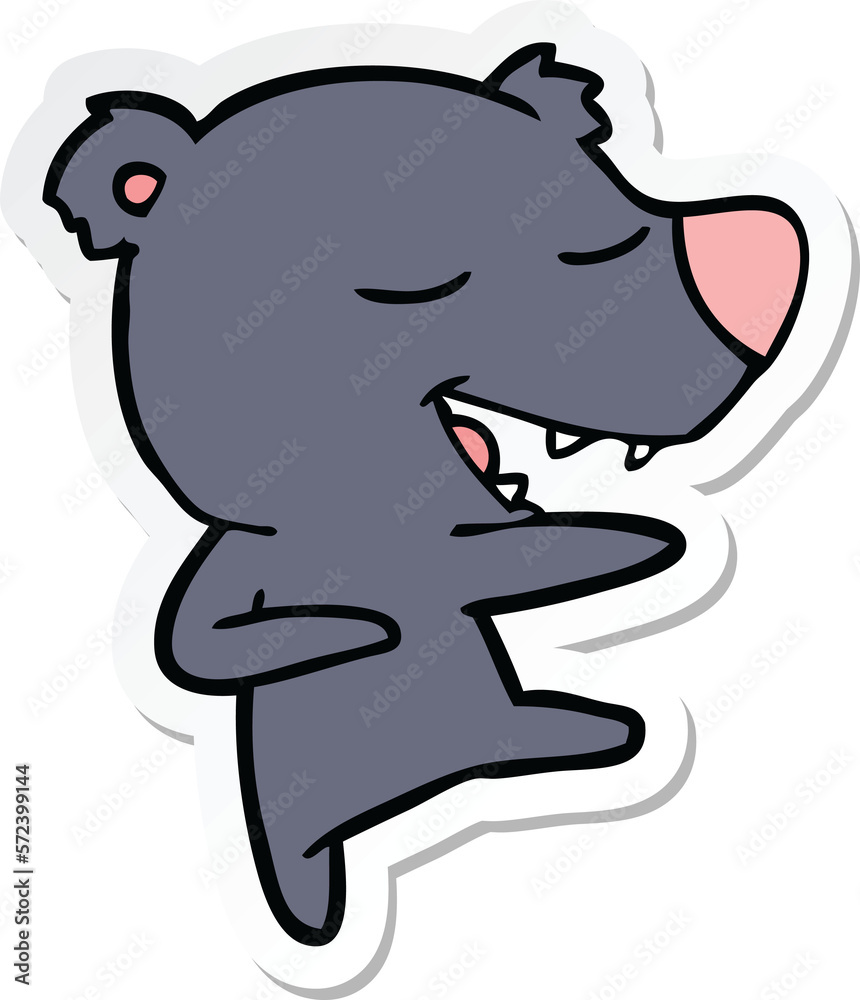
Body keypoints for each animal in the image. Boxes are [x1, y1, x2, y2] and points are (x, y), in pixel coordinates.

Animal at [42, 42, 806, 944]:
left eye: (618, 207)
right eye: (588, 251)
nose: (772, 252)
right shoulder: (240, 560)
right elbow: (197, 643)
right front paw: (351, 630)